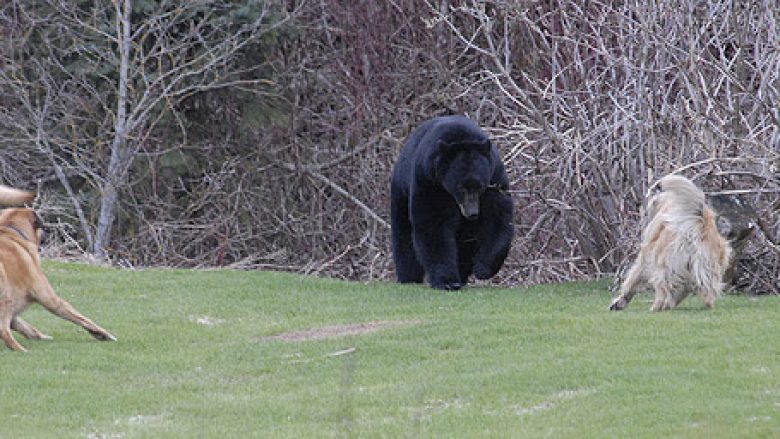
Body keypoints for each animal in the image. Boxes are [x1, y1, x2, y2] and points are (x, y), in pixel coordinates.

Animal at [0, 187, 115, 352]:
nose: (47, 234)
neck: (12, 231)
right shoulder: (50, 298)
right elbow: (81, 317)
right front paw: (103, 333)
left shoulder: (17, 315)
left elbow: (28, 328)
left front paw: (42, 337)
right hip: (6, 297)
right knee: (3, 329)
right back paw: (20, 349)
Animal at [388, 115, 512, 290]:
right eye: (461, 188)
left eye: (479, 186)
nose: (472, 213)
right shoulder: (430, 180)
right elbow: (434, 223)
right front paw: (446, 280)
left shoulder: (494, 177)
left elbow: (498, 216)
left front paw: (483, 268)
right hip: (401, 191)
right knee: (403, 234)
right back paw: (409, 276)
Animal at [608, 175, 732, 312]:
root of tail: (700, 224)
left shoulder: (645, 257)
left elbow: (632, 281)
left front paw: (620, 302)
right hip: (708, 270)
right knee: (707, 295)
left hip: (663, 267)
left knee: (663, 290)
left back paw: (656, 307)